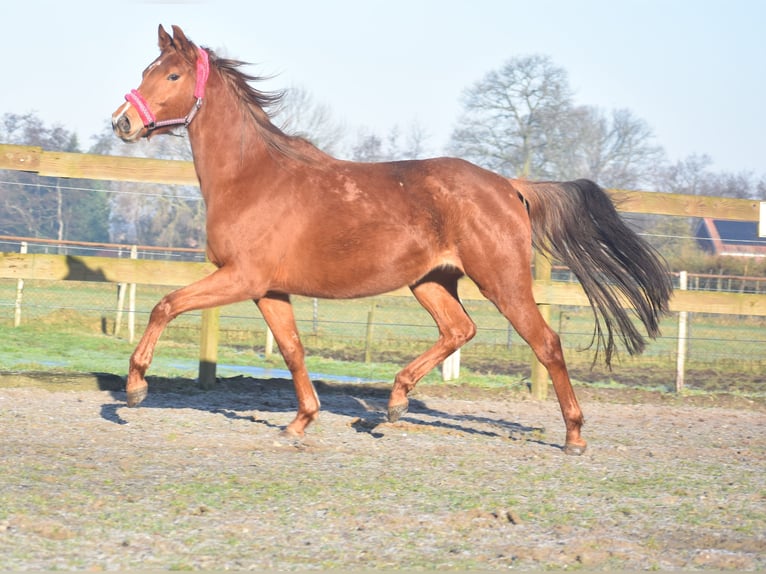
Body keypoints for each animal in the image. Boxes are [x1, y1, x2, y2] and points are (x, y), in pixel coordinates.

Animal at [112, 24, 672, 456]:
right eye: (144, 71)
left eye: (172, 75)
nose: (123, 122)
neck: (252, 177)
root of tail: (509, 186)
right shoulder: (268, 289)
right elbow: (292, 350)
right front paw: (301, 421)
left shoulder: (241, 278)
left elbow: (165, 305)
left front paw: (134, 389)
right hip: (431, 281)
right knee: (460, 330)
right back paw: (394, 404)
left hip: (502, 279)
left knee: (546, 343)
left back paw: (574, 436)